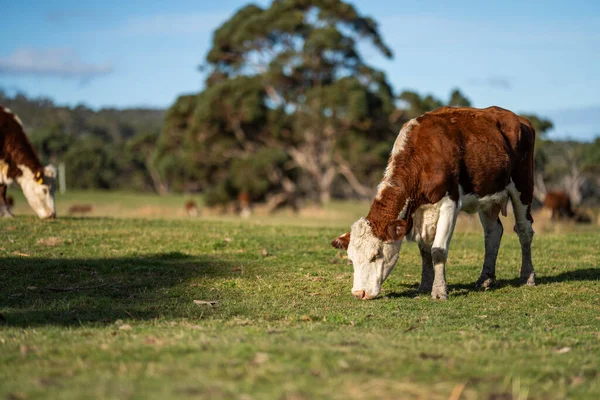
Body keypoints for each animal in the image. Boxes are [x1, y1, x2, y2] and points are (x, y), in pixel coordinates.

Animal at [330, 106, 536, 300]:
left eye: (376, 254)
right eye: (351, 259)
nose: (360, 293)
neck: (422, 155)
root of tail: (520, 119)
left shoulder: (449, 203)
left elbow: (437, 250)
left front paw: (439, 291)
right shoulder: (420, 212)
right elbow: (425, 251)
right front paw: (425, 285)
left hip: (523, 186)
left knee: (524, 230)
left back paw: (527, 276)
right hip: (488, 196)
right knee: (493, 233)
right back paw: (485, 278)